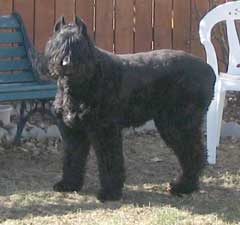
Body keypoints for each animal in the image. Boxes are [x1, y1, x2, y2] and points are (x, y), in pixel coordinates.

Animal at [44, 15, 216, 201]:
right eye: (57, 43)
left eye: (79, 44)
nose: (66, 63)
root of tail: (209, 71)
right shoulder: (74, 132)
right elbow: (73, 158)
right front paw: (69, 184)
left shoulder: (105, 130)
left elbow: (110, 161)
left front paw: (110, 192)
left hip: (178, 125)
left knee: (194, 154)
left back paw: (183, 186)